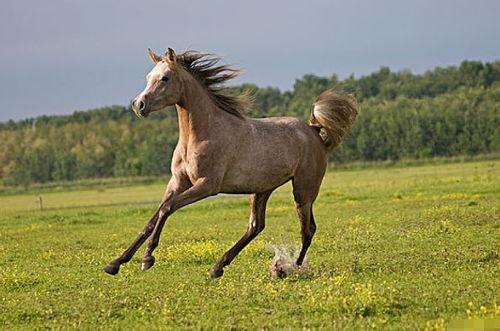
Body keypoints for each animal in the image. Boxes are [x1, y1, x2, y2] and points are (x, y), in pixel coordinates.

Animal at [103, 48, 358, 278]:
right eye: (148, 77)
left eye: (165, 78)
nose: (139, 105)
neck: (201, 134)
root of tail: (314, 131)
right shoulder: (177, 182)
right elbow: (152, 219)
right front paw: (115, 263)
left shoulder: (207, 185)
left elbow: (167, 209)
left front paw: (147, 259)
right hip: (262, 189)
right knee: (256, 226)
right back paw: (218, 267)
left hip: (303, 190)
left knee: (308, 229)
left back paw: (289, 268)